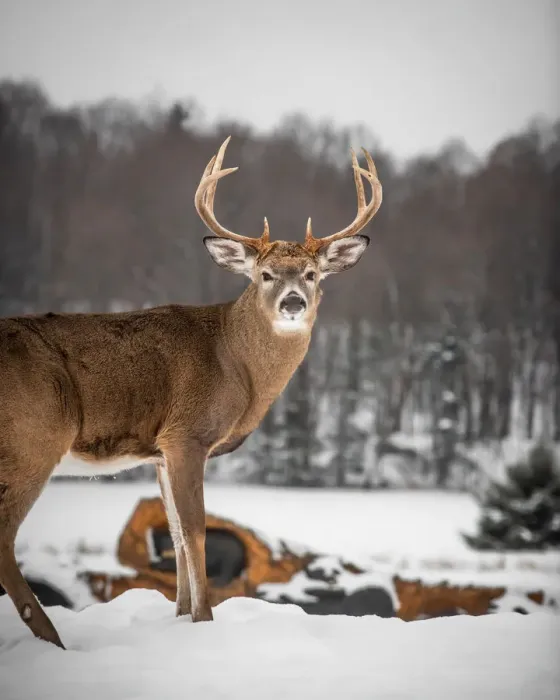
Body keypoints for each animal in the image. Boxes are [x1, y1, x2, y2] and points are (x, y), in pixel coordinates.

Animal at [0, 137, 382, 649]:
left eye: (312, 274)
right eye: (264, 275)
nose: (293, 303)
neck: (235, 365)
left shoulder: (160, 451)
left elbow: (177, 537)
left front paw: (180, 617)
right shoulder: (187, 434)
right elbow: (197, 531)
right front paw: (204, 619)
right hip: (34, 439)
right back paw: (53, 639)